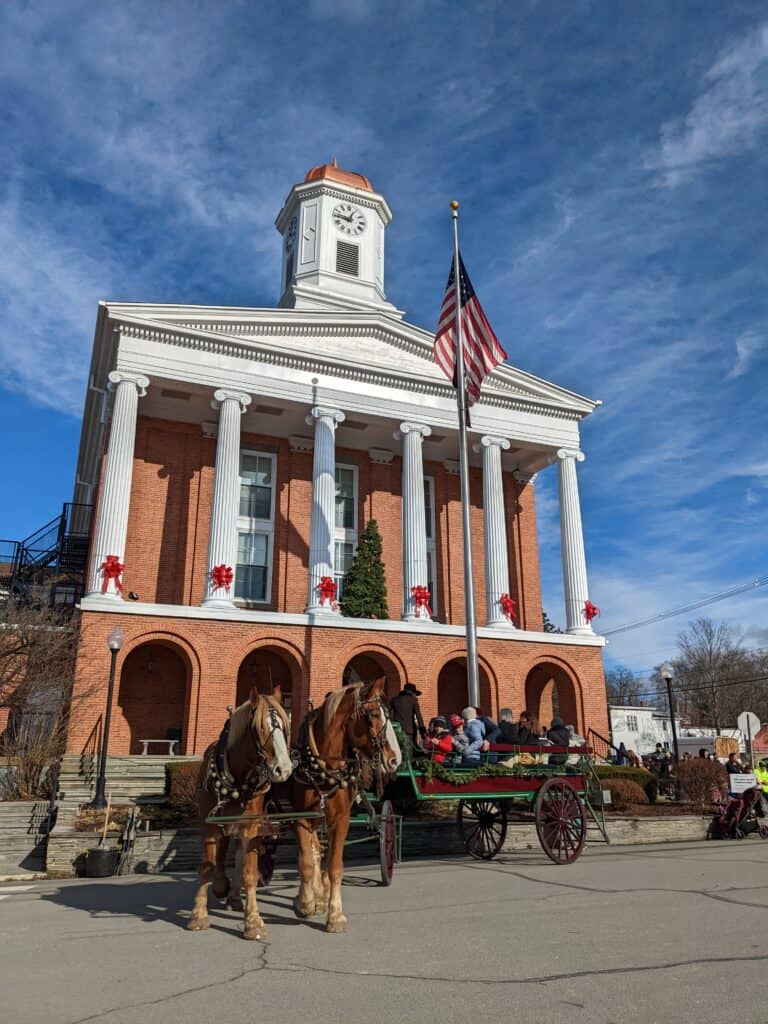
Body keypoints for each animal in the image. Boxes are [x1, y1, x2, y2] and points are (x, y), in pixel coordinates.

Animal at [188, 688, 292, 942]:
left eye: (285, 726)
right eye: (260, 728)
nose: (284, 769)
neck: (237, 777)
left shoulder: (251, 825)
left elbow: (249, 870)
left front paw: (253, 922)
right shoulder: (208, 823)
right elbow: (207, 865)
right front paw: (198, 915)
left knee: (237, 856)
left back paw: (234, 895)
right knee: (223, 852)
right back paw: (222, 886)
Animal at [288, 679, 403, 937]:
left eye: (388, 714)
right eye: (373, 714)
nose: (396, 759)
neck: (324, 765)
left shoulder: (341, 819)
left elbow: (335, 866)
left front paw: (335, 914)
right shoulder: (301, 817)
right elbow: (306, 861)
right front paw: (306, 902)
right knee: (315, 850)